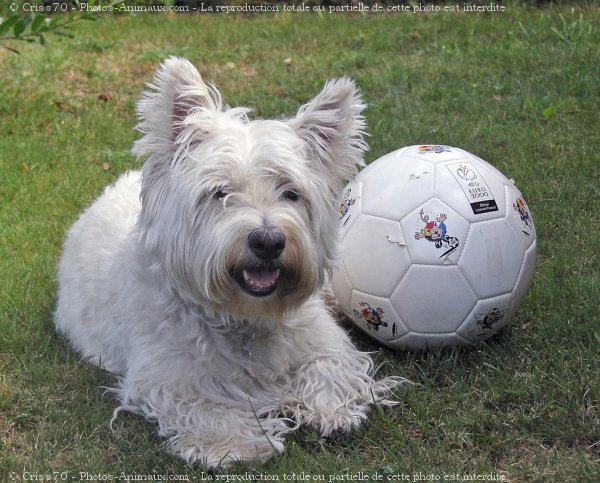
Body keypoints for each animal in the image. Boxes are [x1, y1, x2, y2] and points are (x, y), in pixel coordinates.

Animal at [56, 56, 404, 468]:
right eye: (219, 192)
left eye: (291, 193)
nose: (268, 241)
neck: (243, 318)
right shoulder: (169, 375)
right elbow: (206, 408)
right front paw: (241, 444)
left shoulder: (320, 338)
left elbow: (329, 365)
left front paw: (333, 410)